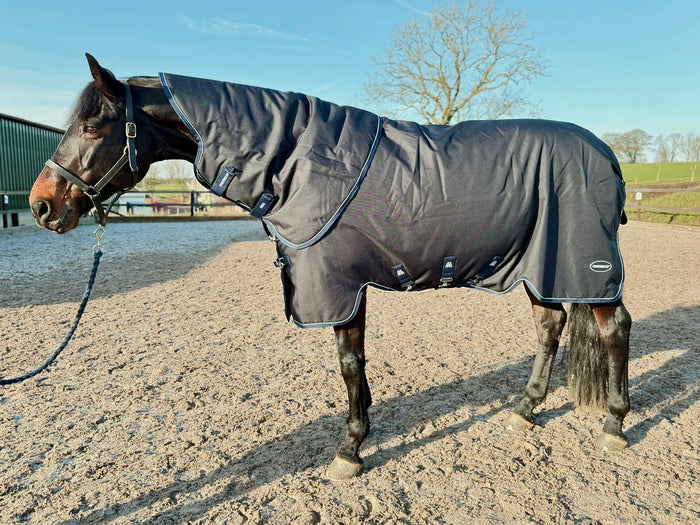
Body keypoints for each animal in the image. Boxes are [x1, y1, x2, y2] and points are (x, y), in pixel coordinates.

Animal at [29, 54, 632, 480]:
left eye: (92, 126)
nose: (42, 205)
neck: (297, 160)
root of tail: (606, 152)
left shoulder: (338, 285)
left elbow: (348, 364)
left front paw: (349, 449)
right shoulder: (346, 286)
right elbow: (356, 365)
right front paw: (362, 431)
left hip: (582, 266)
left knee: (615, 328)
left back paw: (614, 424)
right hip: (542, 265)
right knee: (550, 325)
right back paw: (525, 411)